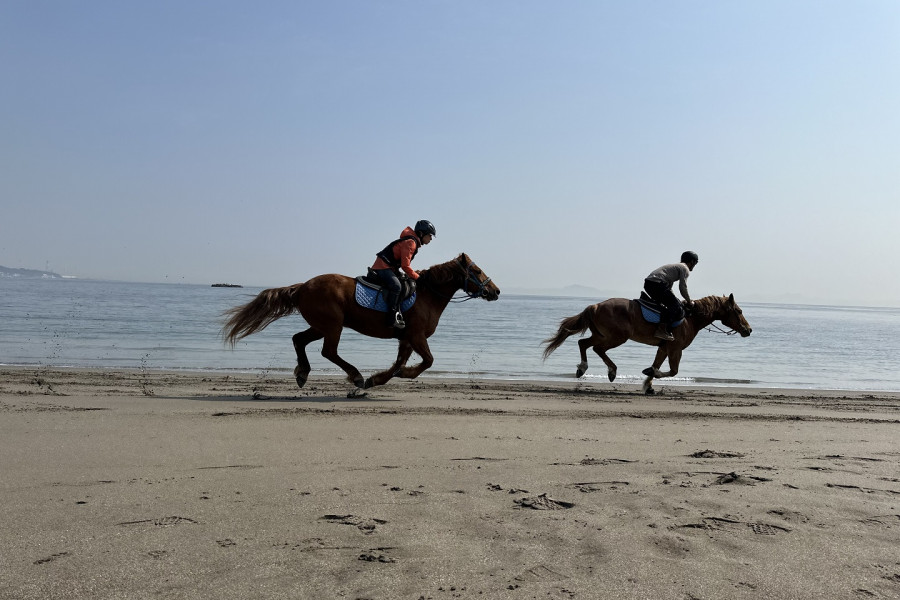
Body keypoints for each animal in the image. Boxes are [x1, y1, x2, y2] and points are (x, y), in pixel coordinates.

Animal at [222, 253, 500, 390]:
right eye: (476, 271)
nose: (495, 291)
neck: (427, 294)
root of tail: (303, 287)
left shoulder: (406, 339)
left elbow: (399, 364)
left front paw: (377, 379)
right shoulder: (416, 336)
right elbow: (427, 361)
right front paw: (394, 376)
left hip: (321, 325)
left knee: (299, 339)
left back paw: (303, 372)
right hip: (333, 325)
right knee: (328, 351)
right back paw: (354, 376)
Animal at [542, 294, 751, 394]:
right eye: (739, 311)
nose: (748, 330)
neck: (690, 318)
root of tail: (595, 306)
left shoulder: (664, 348)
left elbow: (657, 365)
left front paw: (648, 385)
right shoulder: (675, 349)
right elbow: (672, 371)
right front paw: (649, 377)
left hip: (602, 335)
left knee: (583, 343)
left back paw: (584, 368)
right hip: (616, 337)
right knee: (595, 348)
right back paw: (610, 371)